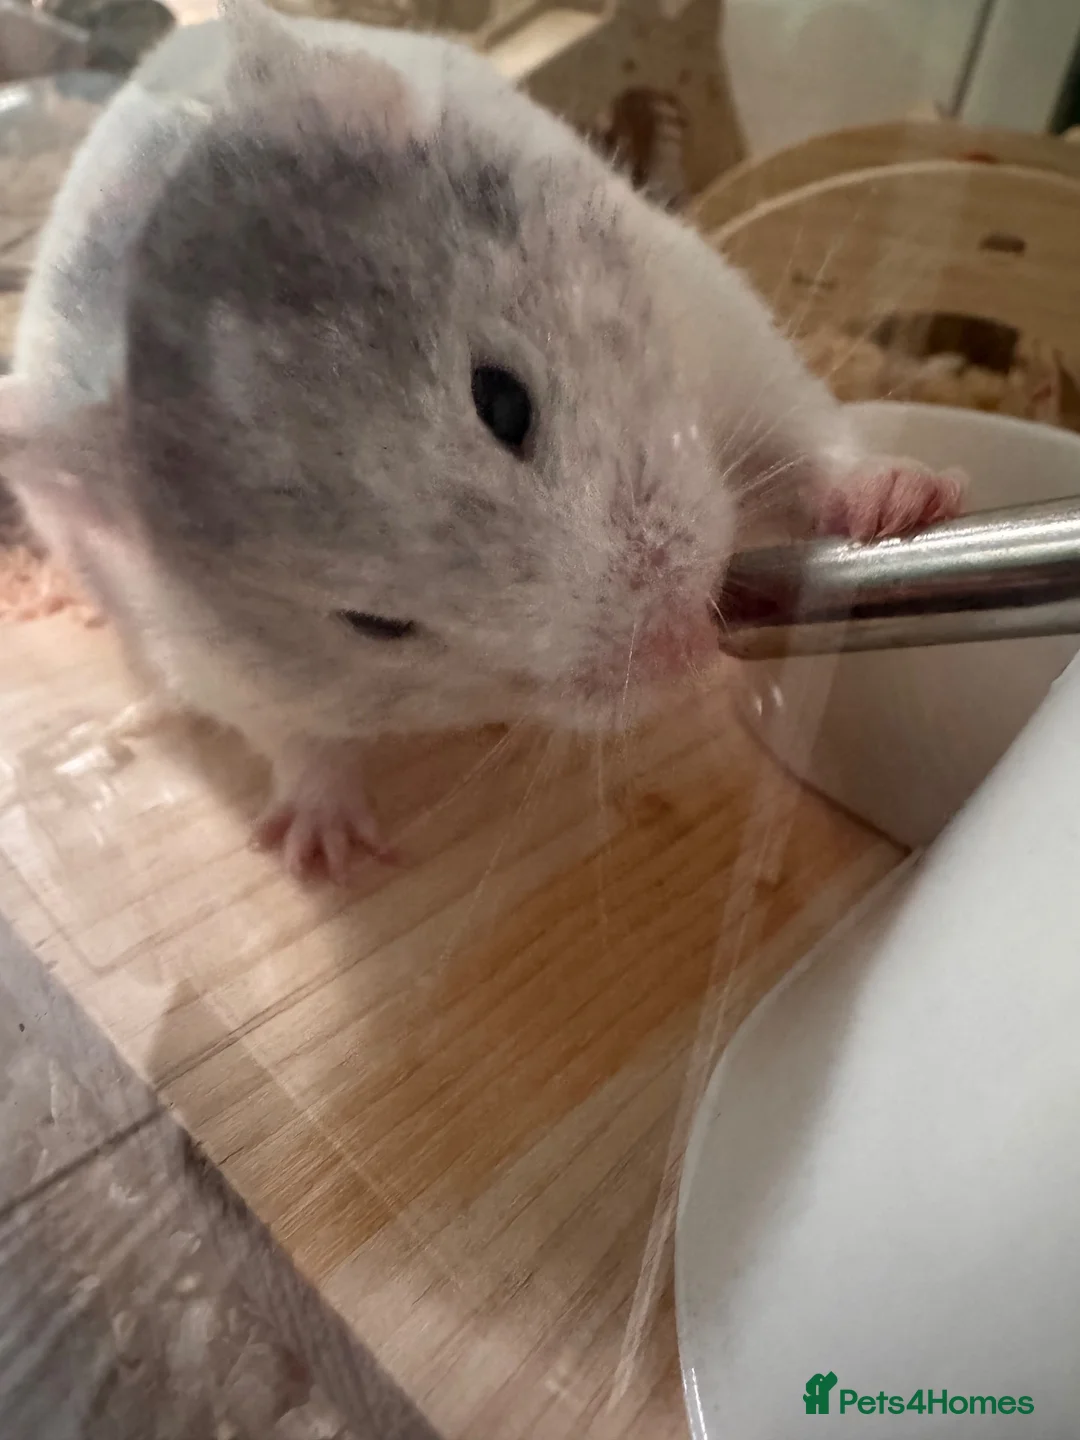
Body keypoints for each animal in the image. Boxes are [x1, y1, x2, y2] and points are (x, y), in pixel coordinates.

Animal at [0, 0, 962, 880]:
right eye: (373, 624)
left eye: (503, 401)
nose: (688, 646)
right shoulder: (221, 670)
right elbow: (302, 741)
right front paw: (322, 857)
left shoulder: (708, 311)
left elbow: (801, 429)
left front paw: (903, 505)